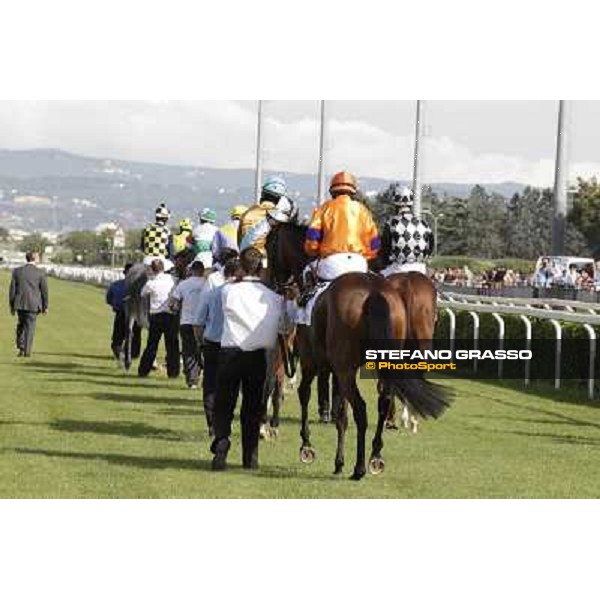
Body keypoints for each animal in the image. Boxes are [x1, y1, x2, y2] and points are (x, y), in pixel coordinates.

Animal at [264, 223, 452, 480]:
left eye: (268, 245)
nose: (271, 283)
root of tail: (374, 292)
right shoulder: (337, 368)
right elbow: (341, 411)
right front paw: (338, 460)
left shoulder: (312, 361)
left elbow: (307, 395)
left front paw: (308, 447)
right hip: (386, 358)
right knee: (382, 402)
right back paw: (376, 456)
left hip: (344, 366)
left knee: (361, 408)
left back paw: (360, 466)